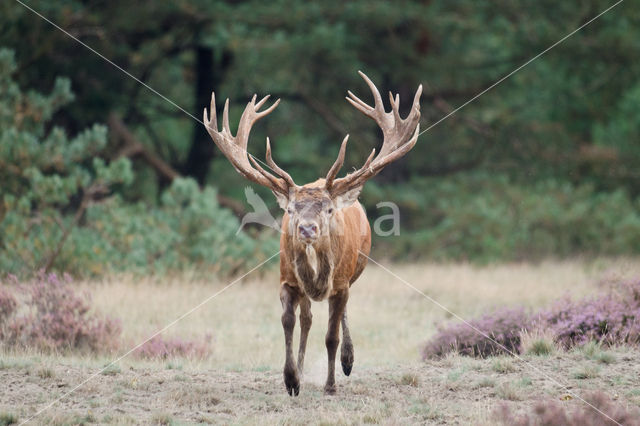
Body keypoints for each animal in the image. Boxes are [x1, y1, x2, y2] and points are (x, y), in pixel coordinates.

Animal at [204, 71, 420, 394]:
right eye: (291, 210)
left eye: (328, 209)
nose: (307, 228)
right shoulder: (286, 280)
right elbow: (288, 322)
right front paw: (291, 379)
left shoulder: (340, 284)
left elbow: (331, 336)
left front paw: (331, 384)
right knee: (307, 319)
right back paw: (304, 370)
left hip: (353, 274)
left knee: (340, 316)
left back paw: (347, 361)